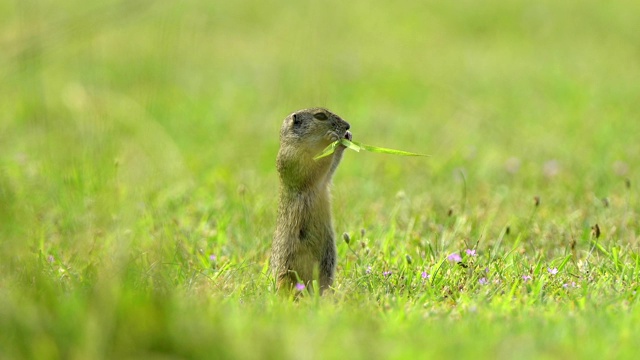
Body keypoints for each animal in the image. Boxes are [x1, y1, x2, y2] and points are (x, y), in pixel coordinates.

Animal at [270, 107, 350, 292]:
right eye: (320, 116)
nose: (348, 125)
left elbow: (329, 169)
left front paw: (346, 139)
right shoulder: (294, 158)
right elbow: (314, 167)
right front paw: (330, 139)